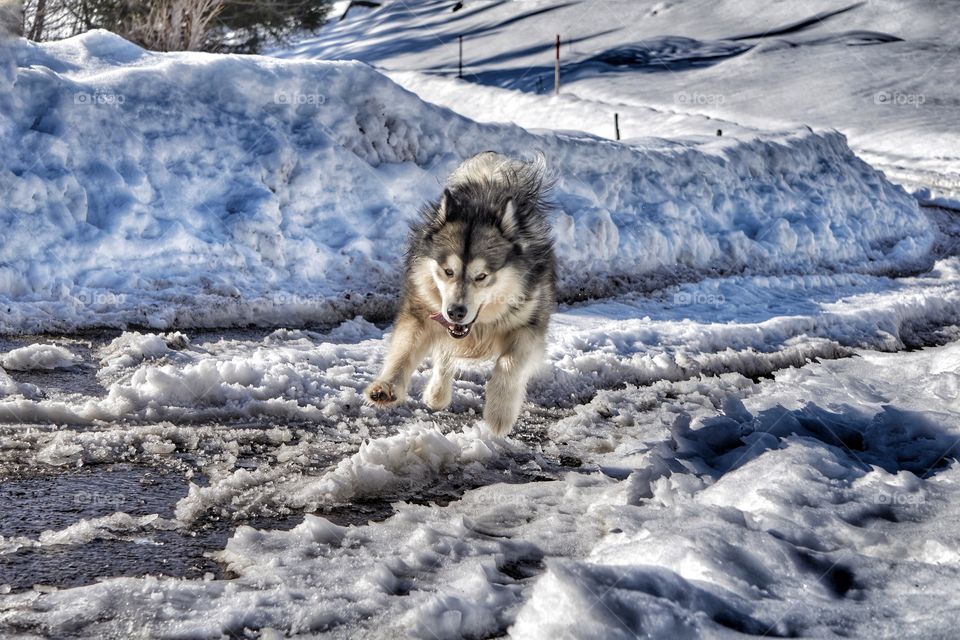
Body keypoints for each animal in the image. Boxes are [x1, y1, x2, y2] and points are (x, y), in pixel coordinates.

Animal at [364, 151, 556, 435]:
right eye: (448, 271)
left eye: (482, 276)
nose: (456, 312)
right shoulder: (422, 311)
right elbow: (405, 350)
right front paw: (387, 386)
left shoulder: (530, 325)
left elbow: (509, 362)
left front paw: (499, 412)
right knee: (444, 354)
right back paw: (437, 393)